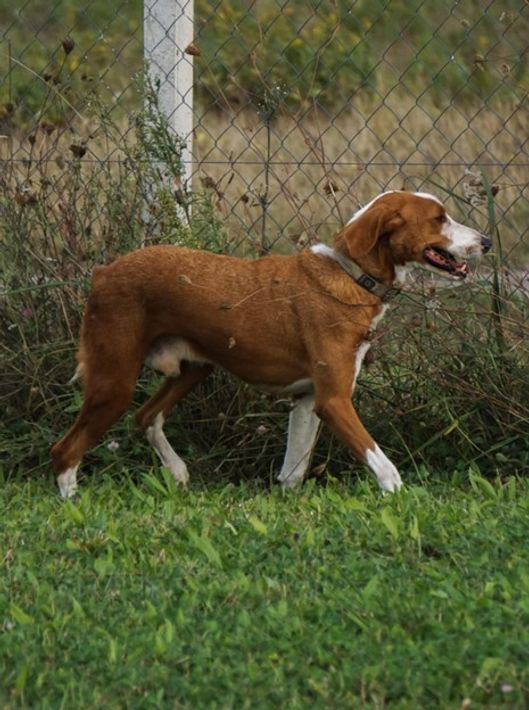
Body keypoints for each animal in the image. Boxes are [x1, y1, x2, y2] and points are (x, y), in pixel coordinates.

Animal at [51, 190, 491, 497]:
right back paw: (74, 502)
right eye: (439, 219)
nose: (486, 241)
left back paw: (176, 471)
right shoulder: (333, 401)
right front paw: (402, 498)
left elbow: (292, 471)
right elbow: (384, 466)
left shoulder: (308, 400)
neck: (352, 275)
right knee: (65, 451)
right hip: (114, 384)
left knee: (146, 417)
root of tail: (103, 272)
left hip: (193, 370)